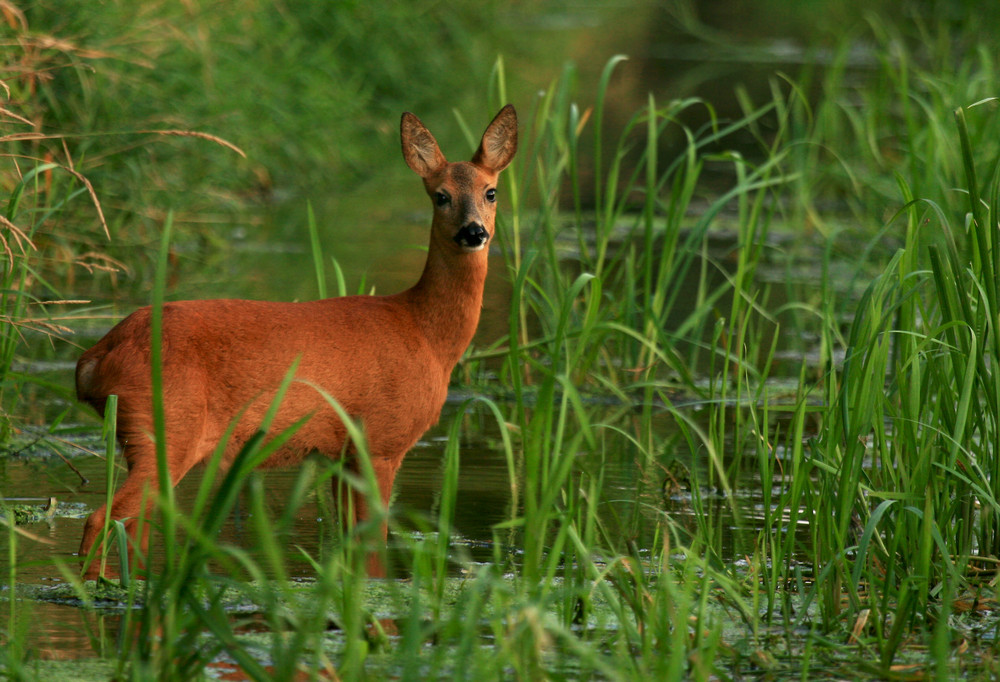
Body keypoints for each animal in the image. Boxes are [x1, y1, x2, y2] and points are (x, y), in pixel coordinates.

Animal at [74, 103, 520, 576]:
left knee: (133, 527)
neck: (424, 332)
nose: (473, 232)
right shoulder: (380, 438)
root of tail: (96, 356)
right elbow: (373, 547)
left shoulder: (341, 452)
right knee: (102, 518)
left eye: (491, 192)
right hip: (167, 426)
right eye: (441, 195)